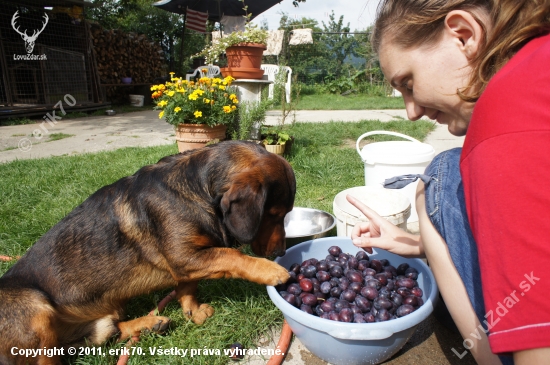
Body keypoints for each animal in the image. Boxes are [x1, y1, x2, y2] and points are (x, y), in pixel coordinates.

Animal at [0, 140, 298, 364]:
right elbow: (231, 256)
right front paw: (270, 269)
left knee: (104, 334)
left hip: (99, 320)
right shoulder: (186, 258)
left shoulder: (187, 262)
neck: (196, 189)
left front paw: (193, 312)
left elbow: (188, 288)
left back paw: (149, 323)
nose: (281, 251)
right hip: (37, 312)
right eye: (273, 214)